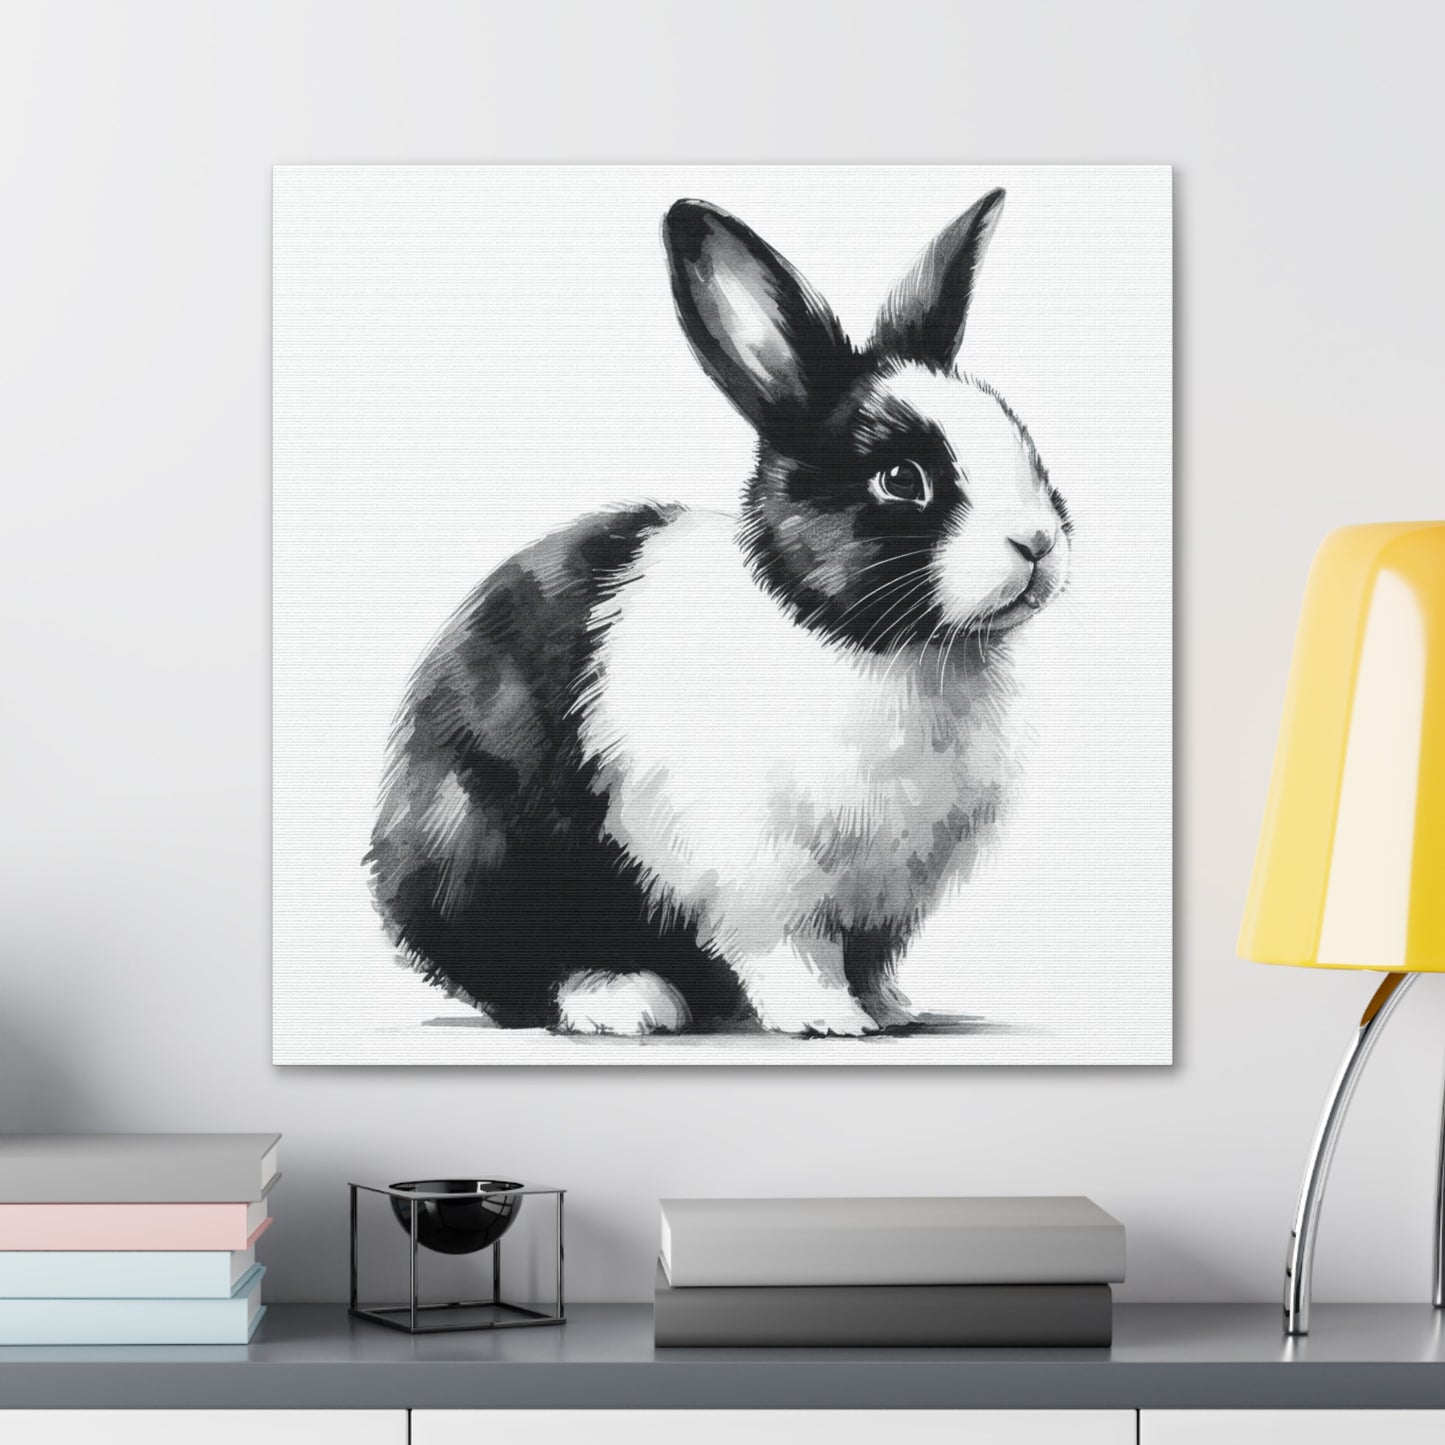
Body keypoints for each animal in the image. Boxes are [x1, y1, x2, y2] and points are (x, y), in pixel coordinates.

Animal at [366, 188, 1070, 1037]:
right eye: (902, 479)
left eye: (1024, 443)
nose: (1037, 542)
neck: (878, 645)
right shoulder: (763, 877)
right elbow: (794, 951)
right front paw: (828, 1019)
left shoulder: (885, 896)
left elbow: (868, 956)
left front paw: (888, 1008)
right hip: (493, 852)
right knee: (509, 967)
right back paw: (623, 999)